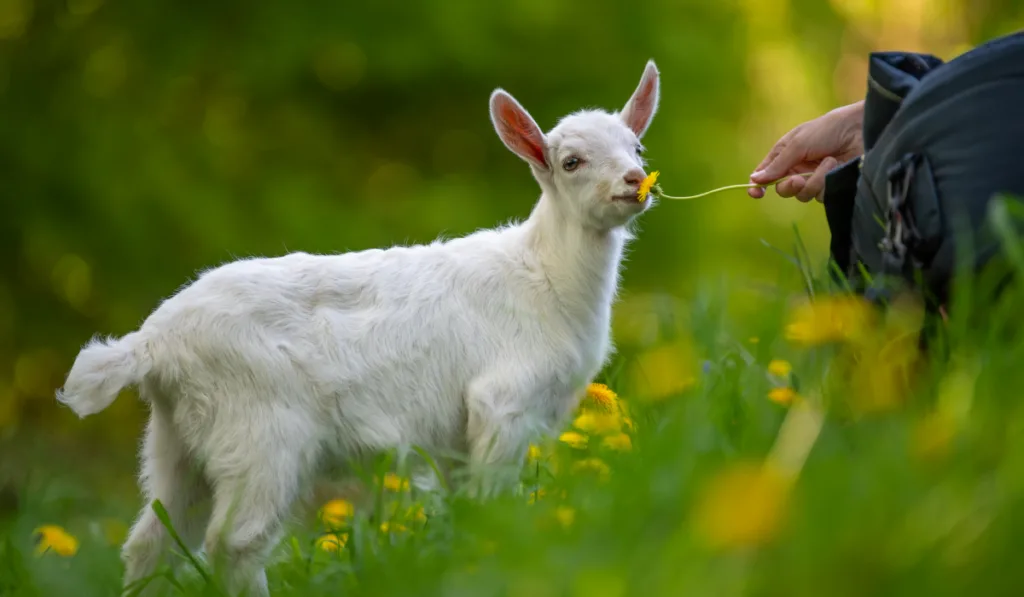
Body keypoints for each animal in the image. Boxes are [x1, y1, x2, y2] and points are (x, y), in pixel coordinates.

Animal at [58, 59, 663, 593]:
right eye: (571, 161)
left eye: (636, 148)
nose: (636, 181)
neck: (543, 279)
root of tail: (152, 344)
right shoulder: (502, 403)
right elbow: (493, 504)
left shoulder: (460, 438)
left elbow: (465, 509)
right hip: (261, 434)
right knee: (235, 542)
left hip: (177, 440)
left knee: (151, 541)